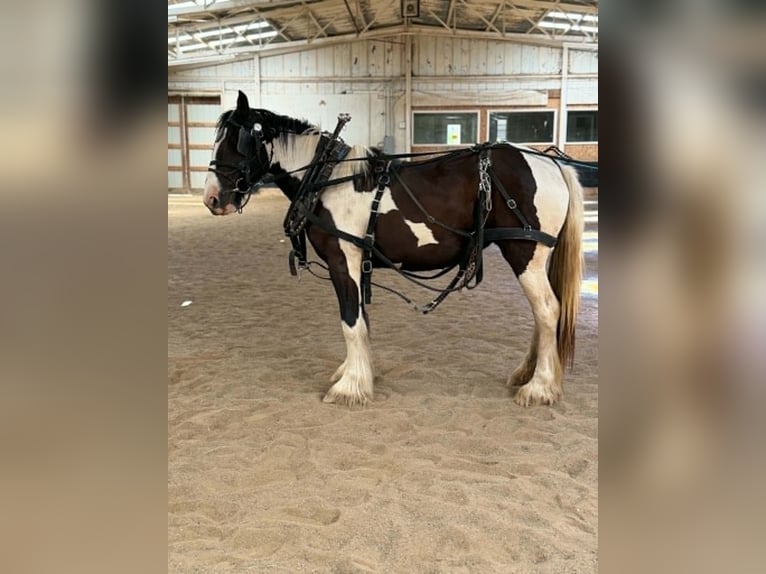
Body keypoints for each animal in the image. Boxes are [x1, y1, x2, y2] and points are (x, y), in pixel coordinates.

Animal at [203, 90, 584, 407]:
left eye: (236, 142)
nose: (212, 199)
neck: (326, 179)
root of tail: (550, 162)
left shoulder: (344, 260)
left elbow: (350, 321)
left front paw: (350, 387)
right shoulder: (358, 262)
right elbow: (361, 320)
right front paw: (356, 373)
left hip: (524, 253)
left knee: (547, 310)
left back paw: (540, 387)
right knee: (542, 314)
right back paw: (528, 374)